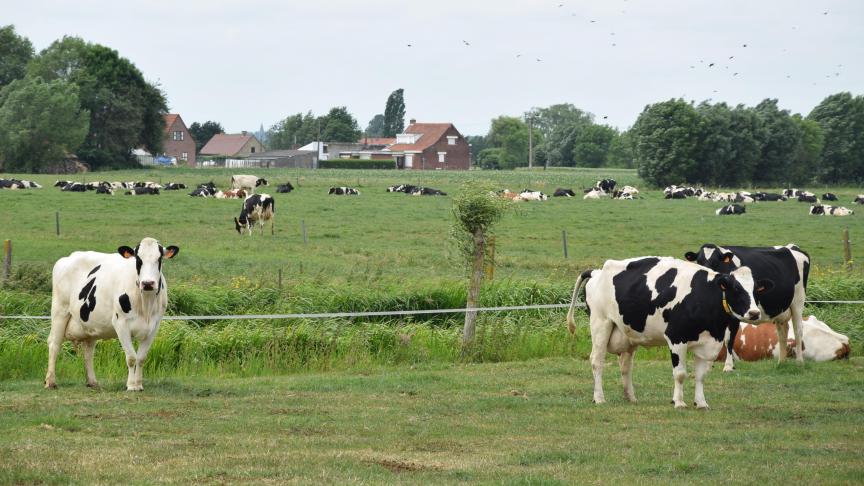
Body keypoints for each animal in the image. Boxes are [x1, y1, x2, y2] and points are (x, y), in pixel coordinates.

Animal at [46, 236, 180, 392]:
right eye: (138, 259)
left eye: (159, 259)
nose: (147, 283)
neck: (145, 304)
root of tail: (68, 257)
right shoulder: (120, 323)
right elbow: (131, 357)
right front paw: (131, 385)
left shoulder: (154, 326)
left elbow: (141, 358)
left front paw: (139, 384)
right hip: (59, 310)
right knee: (54, 344)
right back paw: (50, 382)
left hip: (89, 325)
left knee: (88, 352)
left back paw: (92, 382)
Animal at [564, 256, 772, 408]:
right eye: (736, 288)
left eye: (756, 290)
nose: (754, 313)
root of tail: (597, 271)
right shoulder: (676, 338)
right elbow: (680, 374)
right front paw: (679, 402)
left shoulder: (706, 342)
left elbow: (701, 375)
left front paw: (701, 403)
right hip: (601, 324)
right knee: (597, 361)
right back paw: (599, 398)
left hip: (627, 334)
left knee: (625, 366)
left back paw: (630, 397)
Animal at [684, 241, 812, 370]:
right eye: (699, 261)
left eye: (715, 262)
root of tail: (792, 246)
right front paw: (708, 366)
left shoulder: (734, 314)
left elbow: (728, 339)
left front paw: (728, 366)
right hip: (781, 310)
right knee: (782, 333)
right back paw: (781, 362)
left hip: (798, 301)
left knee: (798, 330)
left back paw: (799, 362)